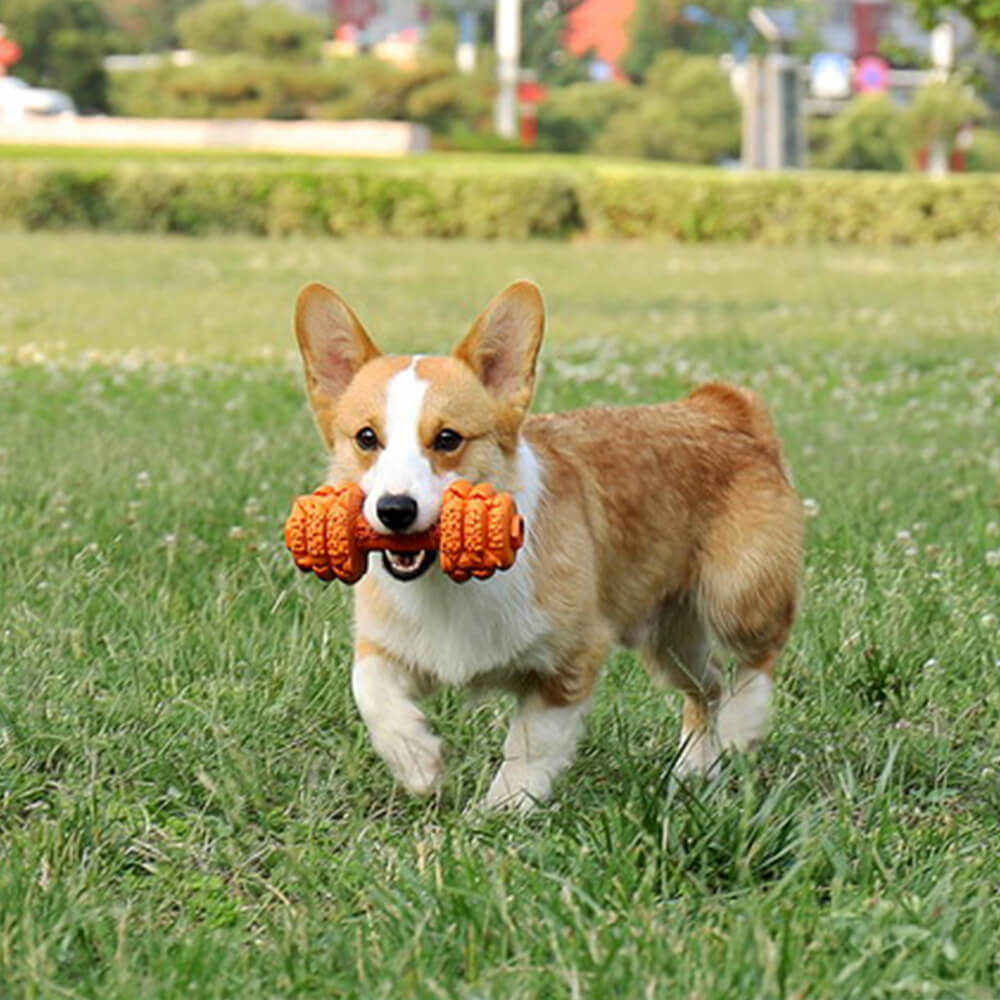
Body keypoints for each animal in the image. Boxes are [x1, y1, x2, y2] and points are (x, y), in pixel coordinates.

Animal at [294, 282, 804, 812]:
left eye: (448, 438)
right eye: (366, 438)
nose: (395, 509)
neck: (447, 585)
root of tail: (721, 408)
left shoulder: (570, 659)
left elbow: (531, 744)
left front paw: (503, 808)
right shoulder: (387, 646)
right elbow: (369, 692)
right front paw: (419, 763)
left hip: (738, 597)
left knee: (759, 657)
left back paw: (742, 726)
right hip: (668, 640)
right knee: (710, 683)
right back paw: (694, 769)